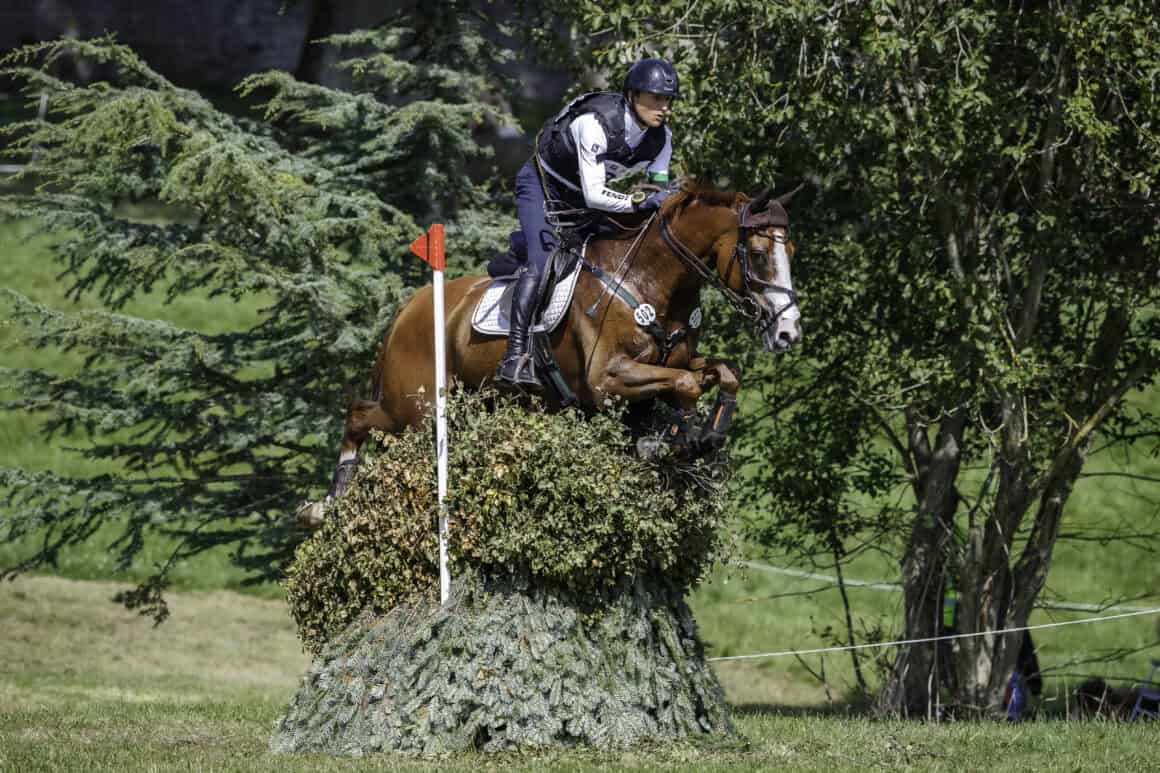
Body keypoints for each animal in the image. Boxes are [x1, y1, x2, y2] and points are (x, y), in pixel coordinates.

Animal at [299, 183, 802, 526]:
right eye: (759, 254)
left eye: (791, 251)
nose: (788, 332)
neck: (650, 279)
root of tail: (410, 307)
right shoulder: (607, 379)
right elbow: (687, 384)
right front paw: (682, 436)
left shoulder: (668, 364)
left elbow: (719, 373)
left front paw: (700, 433)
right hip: (414, 410)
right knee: (358, 416)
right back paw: (326, 503)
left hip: (463, 405)